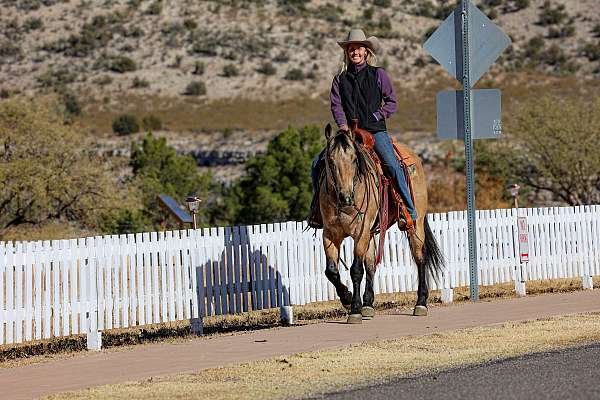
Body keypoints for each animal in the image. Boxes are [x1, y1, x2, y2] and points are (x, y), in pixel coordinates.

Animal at [322, 123, 442, 324]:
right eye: (330, 161)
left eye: (354, 160)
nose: (345, 197)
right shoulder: (330, 234)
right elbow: (331, 271)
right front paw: (347, 298)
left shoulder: (360, 232)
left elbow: (356, 270)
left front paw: (354, 309)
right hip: (370, 234)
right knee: (371, 264)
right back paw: (368, 304)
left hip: (415, 225)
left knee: (420, 258)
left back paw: (421, 303)